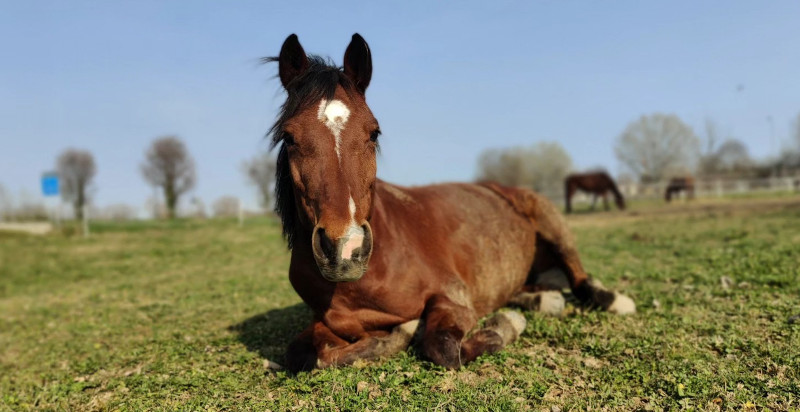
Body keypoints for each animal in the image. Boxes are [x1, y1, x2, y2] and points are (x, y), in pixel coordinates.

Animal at [267, 33, 635, 373]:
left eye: (373, 132)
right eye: (289, 136)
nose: (345, 248)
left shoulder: (451, 300)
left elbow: (442, 347)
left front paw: (505, 324)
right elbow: (302, 354)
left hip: (552, 222)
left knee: (579, 278)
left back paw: (614, 301)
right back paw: (543, 298)